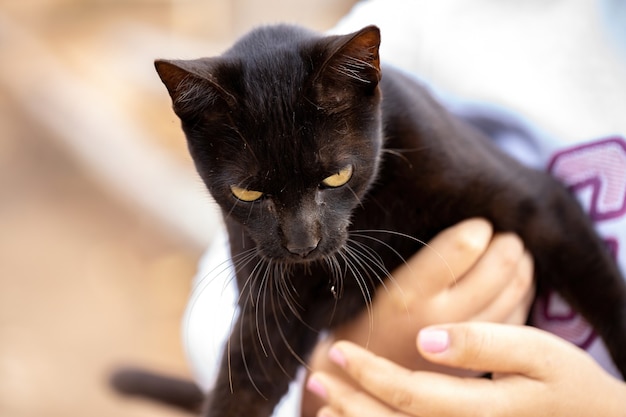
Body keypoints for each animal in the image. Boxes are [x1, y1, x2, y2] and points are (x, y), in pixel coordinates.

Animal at [113, 24, 624, 414]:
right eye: (249, 192)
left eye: (336, 176)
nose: (302, 243)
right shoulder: (269, 301)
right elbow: (244, 386)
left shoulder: (542, 203)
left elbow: (602, 288)